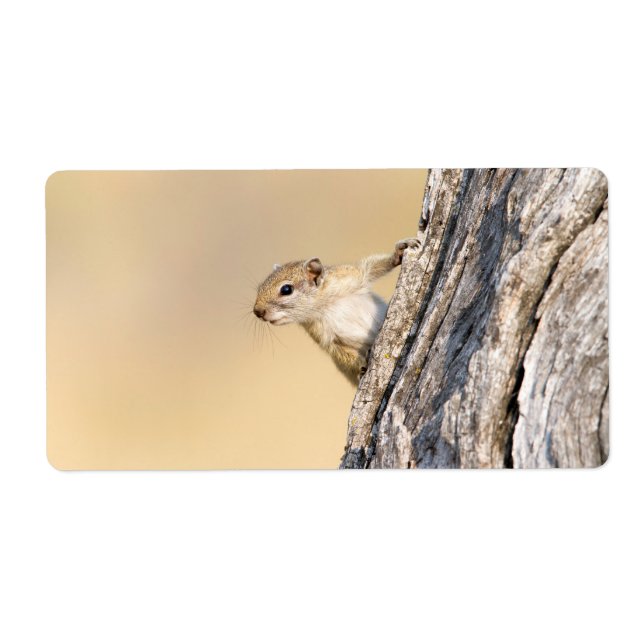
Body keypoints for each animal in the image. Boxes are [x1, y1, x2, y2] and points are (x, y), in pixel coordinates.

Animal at [253, 237, 421, 385]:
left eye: (286, 289)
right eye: (260, 287)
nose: (257, 311)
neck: (325, 305)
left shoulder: (350, 276)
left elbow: (371, 268)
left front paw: (400, 251)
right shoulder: (325, 336)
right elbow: (341, 353)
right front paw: (360, 365)